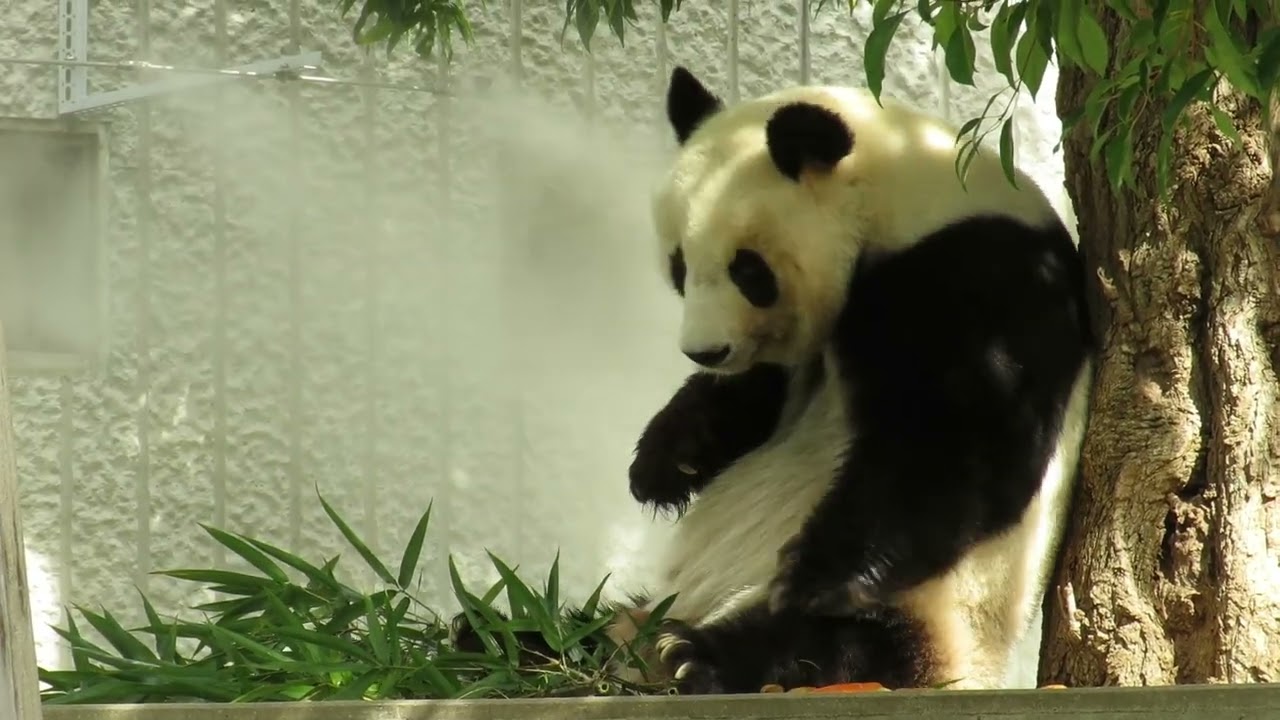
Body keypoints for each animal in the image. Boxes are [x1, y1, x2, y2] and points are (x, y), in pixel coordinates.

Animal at [607, 66, 1096, 695]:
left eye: (748, 271)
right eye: (678, 266)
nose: (705, 351)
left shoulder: (983, 277)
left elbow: (962, 443)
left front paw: (812, 575)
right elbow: (755, 396)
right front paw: (664, 461)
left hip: (941, 614)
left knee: (837, 647)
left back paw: (696, 654)